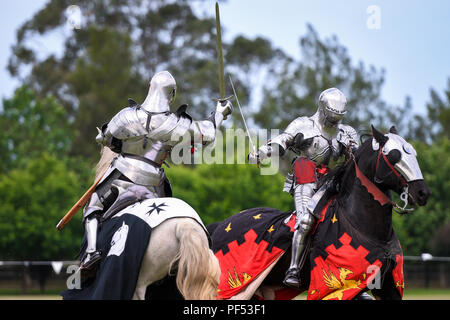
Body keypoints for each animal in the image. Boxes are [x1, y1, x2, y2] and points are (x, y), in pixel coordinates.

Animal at [209, 125, 430, 300]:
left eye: (414, 154)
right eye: (394, 156)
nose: (422, 193)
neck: (361, 225)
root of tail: (220, 225)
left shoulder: (387, 287)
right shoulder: (335, 288)